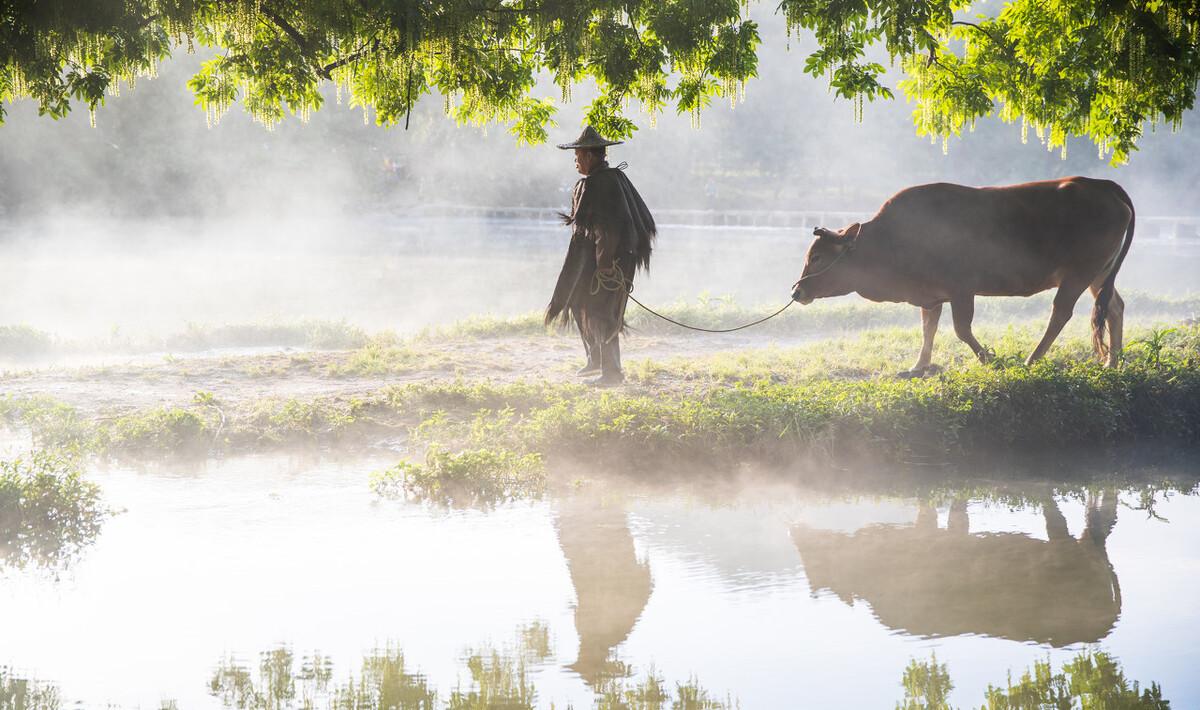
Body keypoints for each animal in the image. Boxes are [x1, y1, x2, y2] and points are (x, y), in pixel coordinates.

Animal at [792, 176, 1137, 371]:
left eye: (818, 257)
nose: (797, 291)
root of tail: (1101, 185)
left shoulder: (962, 290)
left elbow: (960, 329)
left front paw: (988, 358)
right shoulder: (931, 296)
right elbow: (928, 328)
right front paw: (918, 365)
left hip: (1079, 273)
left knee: (1062, 312)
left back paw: (1032, 359)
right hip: (1100, 273)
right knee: (1114, 307)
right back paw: (1113, 361)